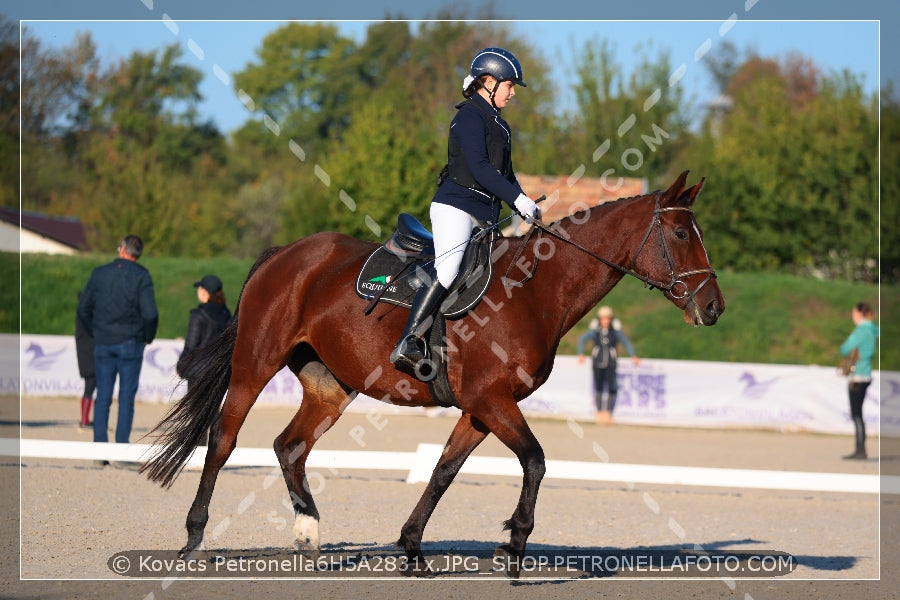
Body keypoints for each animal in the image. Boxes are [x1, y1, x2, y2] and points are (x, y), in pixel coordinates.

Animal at [144, 168, 728, 576]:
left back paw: (308, 533)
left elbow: (444, 471)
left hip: (331, 386)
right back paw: (194, 538)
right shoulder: (493, 401)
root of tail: (286, 252)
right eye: (681, 233)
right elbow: (535, 461)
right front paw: (515, 544)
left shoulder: (481, 408)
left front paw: (412, 548)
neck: (534, 290)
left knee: (290, 446)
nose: (714, 308)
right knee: (223, 439)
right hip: (254, 364)